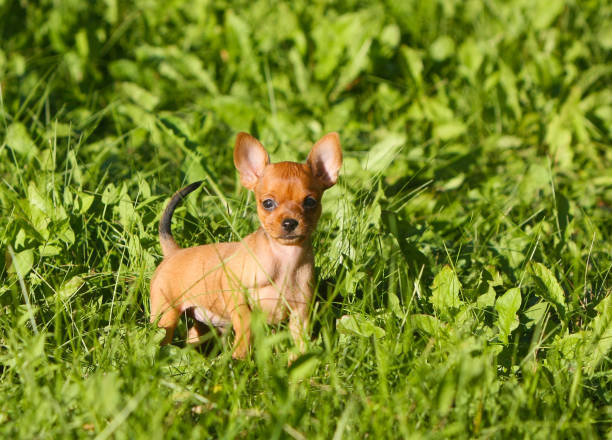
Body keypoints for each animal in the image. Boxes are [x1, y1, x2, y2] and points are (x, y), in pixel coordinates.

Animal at [148, 132, 340, 360]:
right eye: (268, 203)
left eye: (310, 202)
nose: (289, 223)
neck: (285, 258)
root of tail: (173, 252)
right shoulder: (234, 289)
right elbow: (246, 323)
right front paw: (239, 357)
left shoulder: (300, 314)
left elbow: (301, 344)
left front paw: (301, 362)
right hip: (166, 314)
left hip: (200, 322)